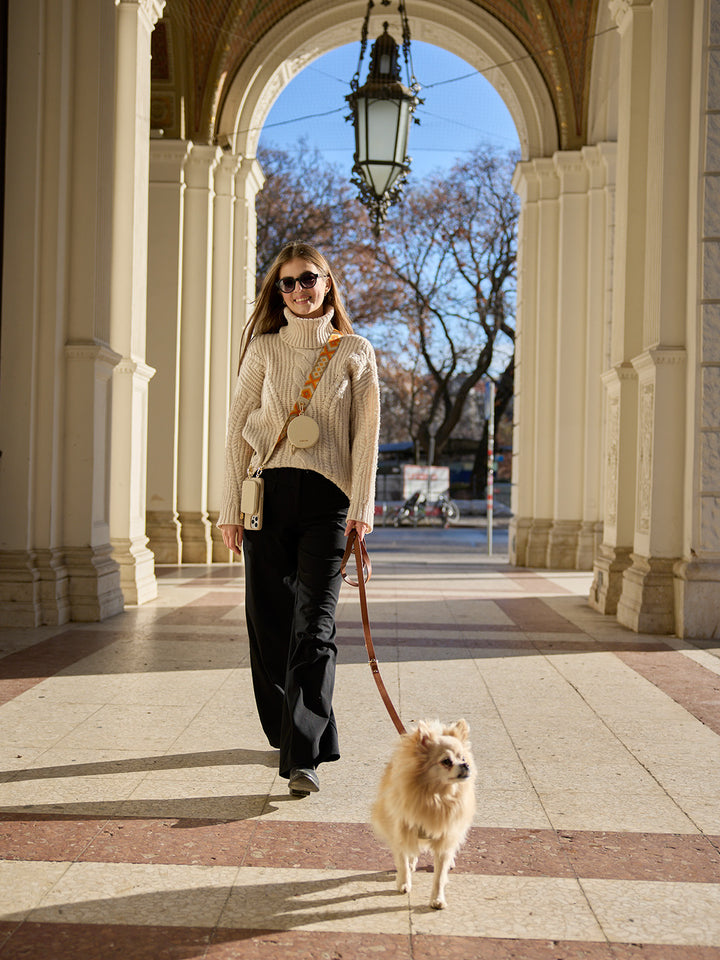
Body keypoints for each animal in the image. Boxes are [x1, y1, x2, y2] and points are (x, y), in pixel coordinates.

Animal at [372, 716, 478, 912]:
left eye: (463, 758)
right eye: (446, 761)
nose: (465, 765)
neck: (436, 796)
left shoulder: (445, 835)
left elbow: (439, 875)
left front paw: (437, 899)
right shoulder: (401, 829)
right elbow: (403, 860)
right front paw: (404, 882)